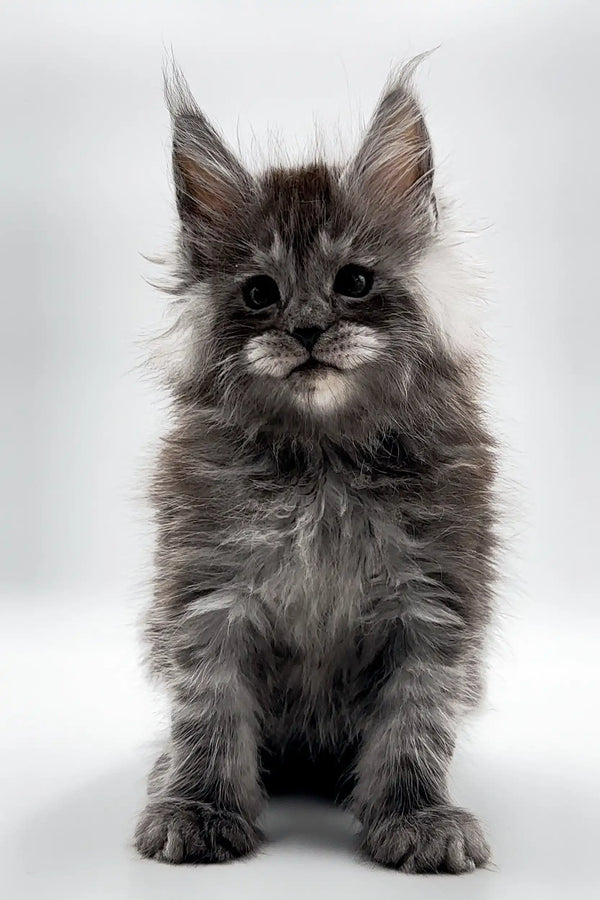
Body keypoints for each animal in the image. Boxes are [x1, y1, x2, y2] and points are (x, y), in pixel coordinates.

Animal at [135, 61, 496, 872]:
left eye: (353, 282)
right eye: (259, 293)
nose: (304, 329)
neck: (322, 466)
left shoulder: (432, 606)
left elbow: (415, 724)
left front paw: (417, 817)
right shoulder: (208, 599)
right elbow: (207, 715)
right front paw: (199, 807)